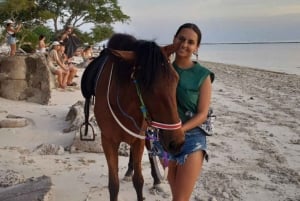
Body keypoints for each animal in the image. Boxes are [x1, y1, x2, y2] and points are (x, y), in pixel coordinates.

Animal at [82, 33, 185, 201]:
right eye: (146, 86)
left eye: (176, 79)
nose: (177, 143)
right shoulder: (108, 141)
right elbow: (113, 184)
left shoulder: (139, 139)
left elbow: (139, 180)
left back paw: (156, 180)